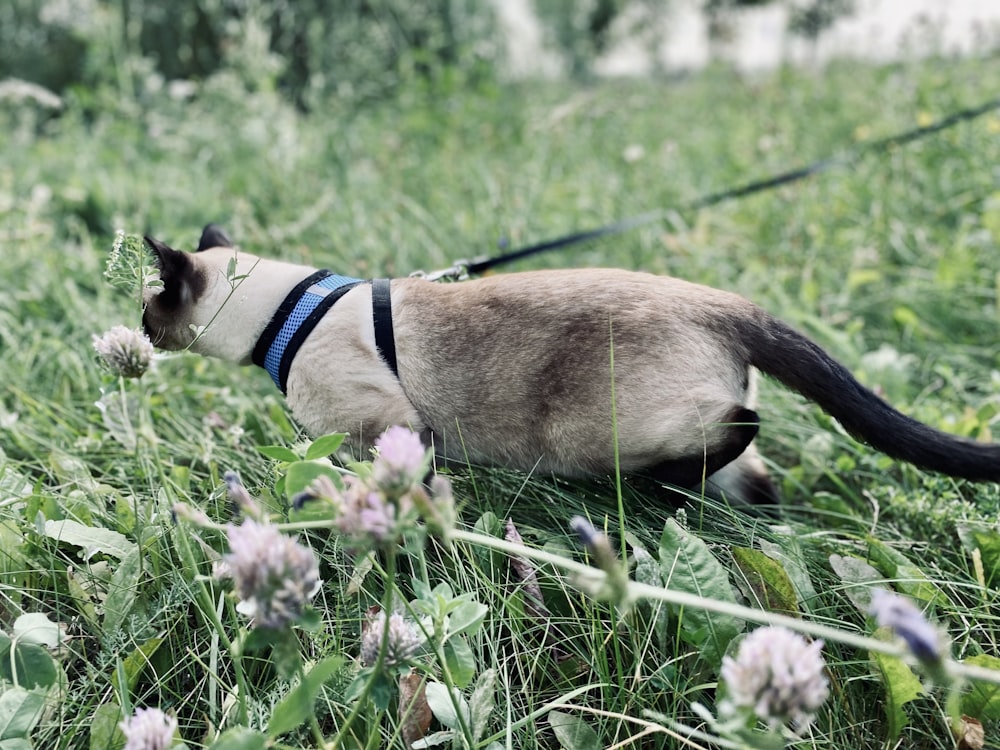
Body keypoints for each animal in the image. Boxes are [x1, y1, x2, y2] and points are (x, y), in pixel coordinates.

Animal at [141, 225, 1000, 506]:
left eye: (152, 305)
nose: (141, 332)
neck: (292, 308)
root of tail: (729, 305)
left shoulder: (384, 428)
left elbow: (363, 475)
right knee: (756, 478)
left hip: (599, 433)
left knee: (737, 427)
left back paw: (656, 488)